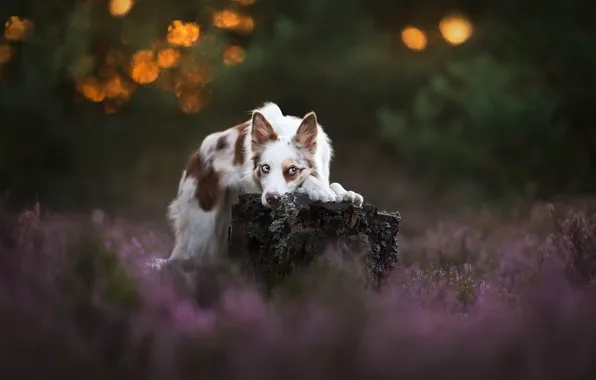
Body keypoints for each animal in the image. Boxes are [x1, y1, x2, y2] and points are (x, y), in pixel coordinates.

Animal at [152, 102, 364, 270]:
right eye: (265, 168)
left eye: (292, 170)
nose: (272, 199)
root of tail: (196, 158)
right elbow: (310, 181)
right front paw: (319, 189)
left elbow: (332, 183)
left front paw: (346, 193)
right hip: (203, 224)